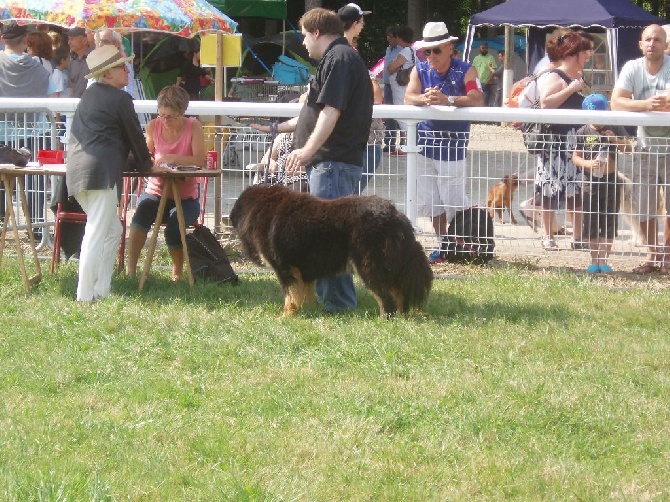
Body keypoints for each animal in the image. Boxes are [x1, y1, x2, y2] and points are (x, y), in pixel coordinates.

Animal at [232, 184, 436, 318]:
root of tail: (395, 215)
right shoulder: (302, 271)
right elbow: (303, 295)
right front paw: (307, 312)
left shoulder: (286, 269)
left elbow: (290, 296)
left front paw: (286, 316)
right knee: (399, 293)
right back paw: (401, 317)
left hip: (369, 266)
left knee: (387, 298)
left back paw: (385, 319)